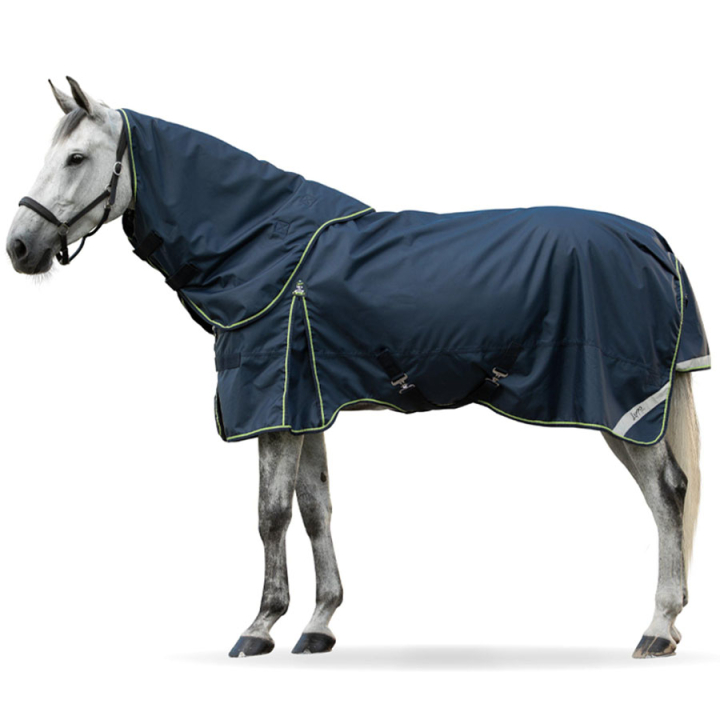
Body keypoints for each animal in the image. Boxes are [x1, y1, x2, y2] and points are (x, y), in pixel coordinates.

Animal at [6, 78, 709, 659]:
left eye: (76, 159)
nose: (19, 247)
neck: (260, 248)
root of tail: (656, 243)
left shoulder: (273, 408)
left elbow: (269, 514)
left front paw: (259, 627)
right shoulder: (309, 403)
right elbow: (316, 508)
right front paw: (318, 624)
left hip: (623, 409)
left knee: (667, 493)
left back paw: (657, 627)